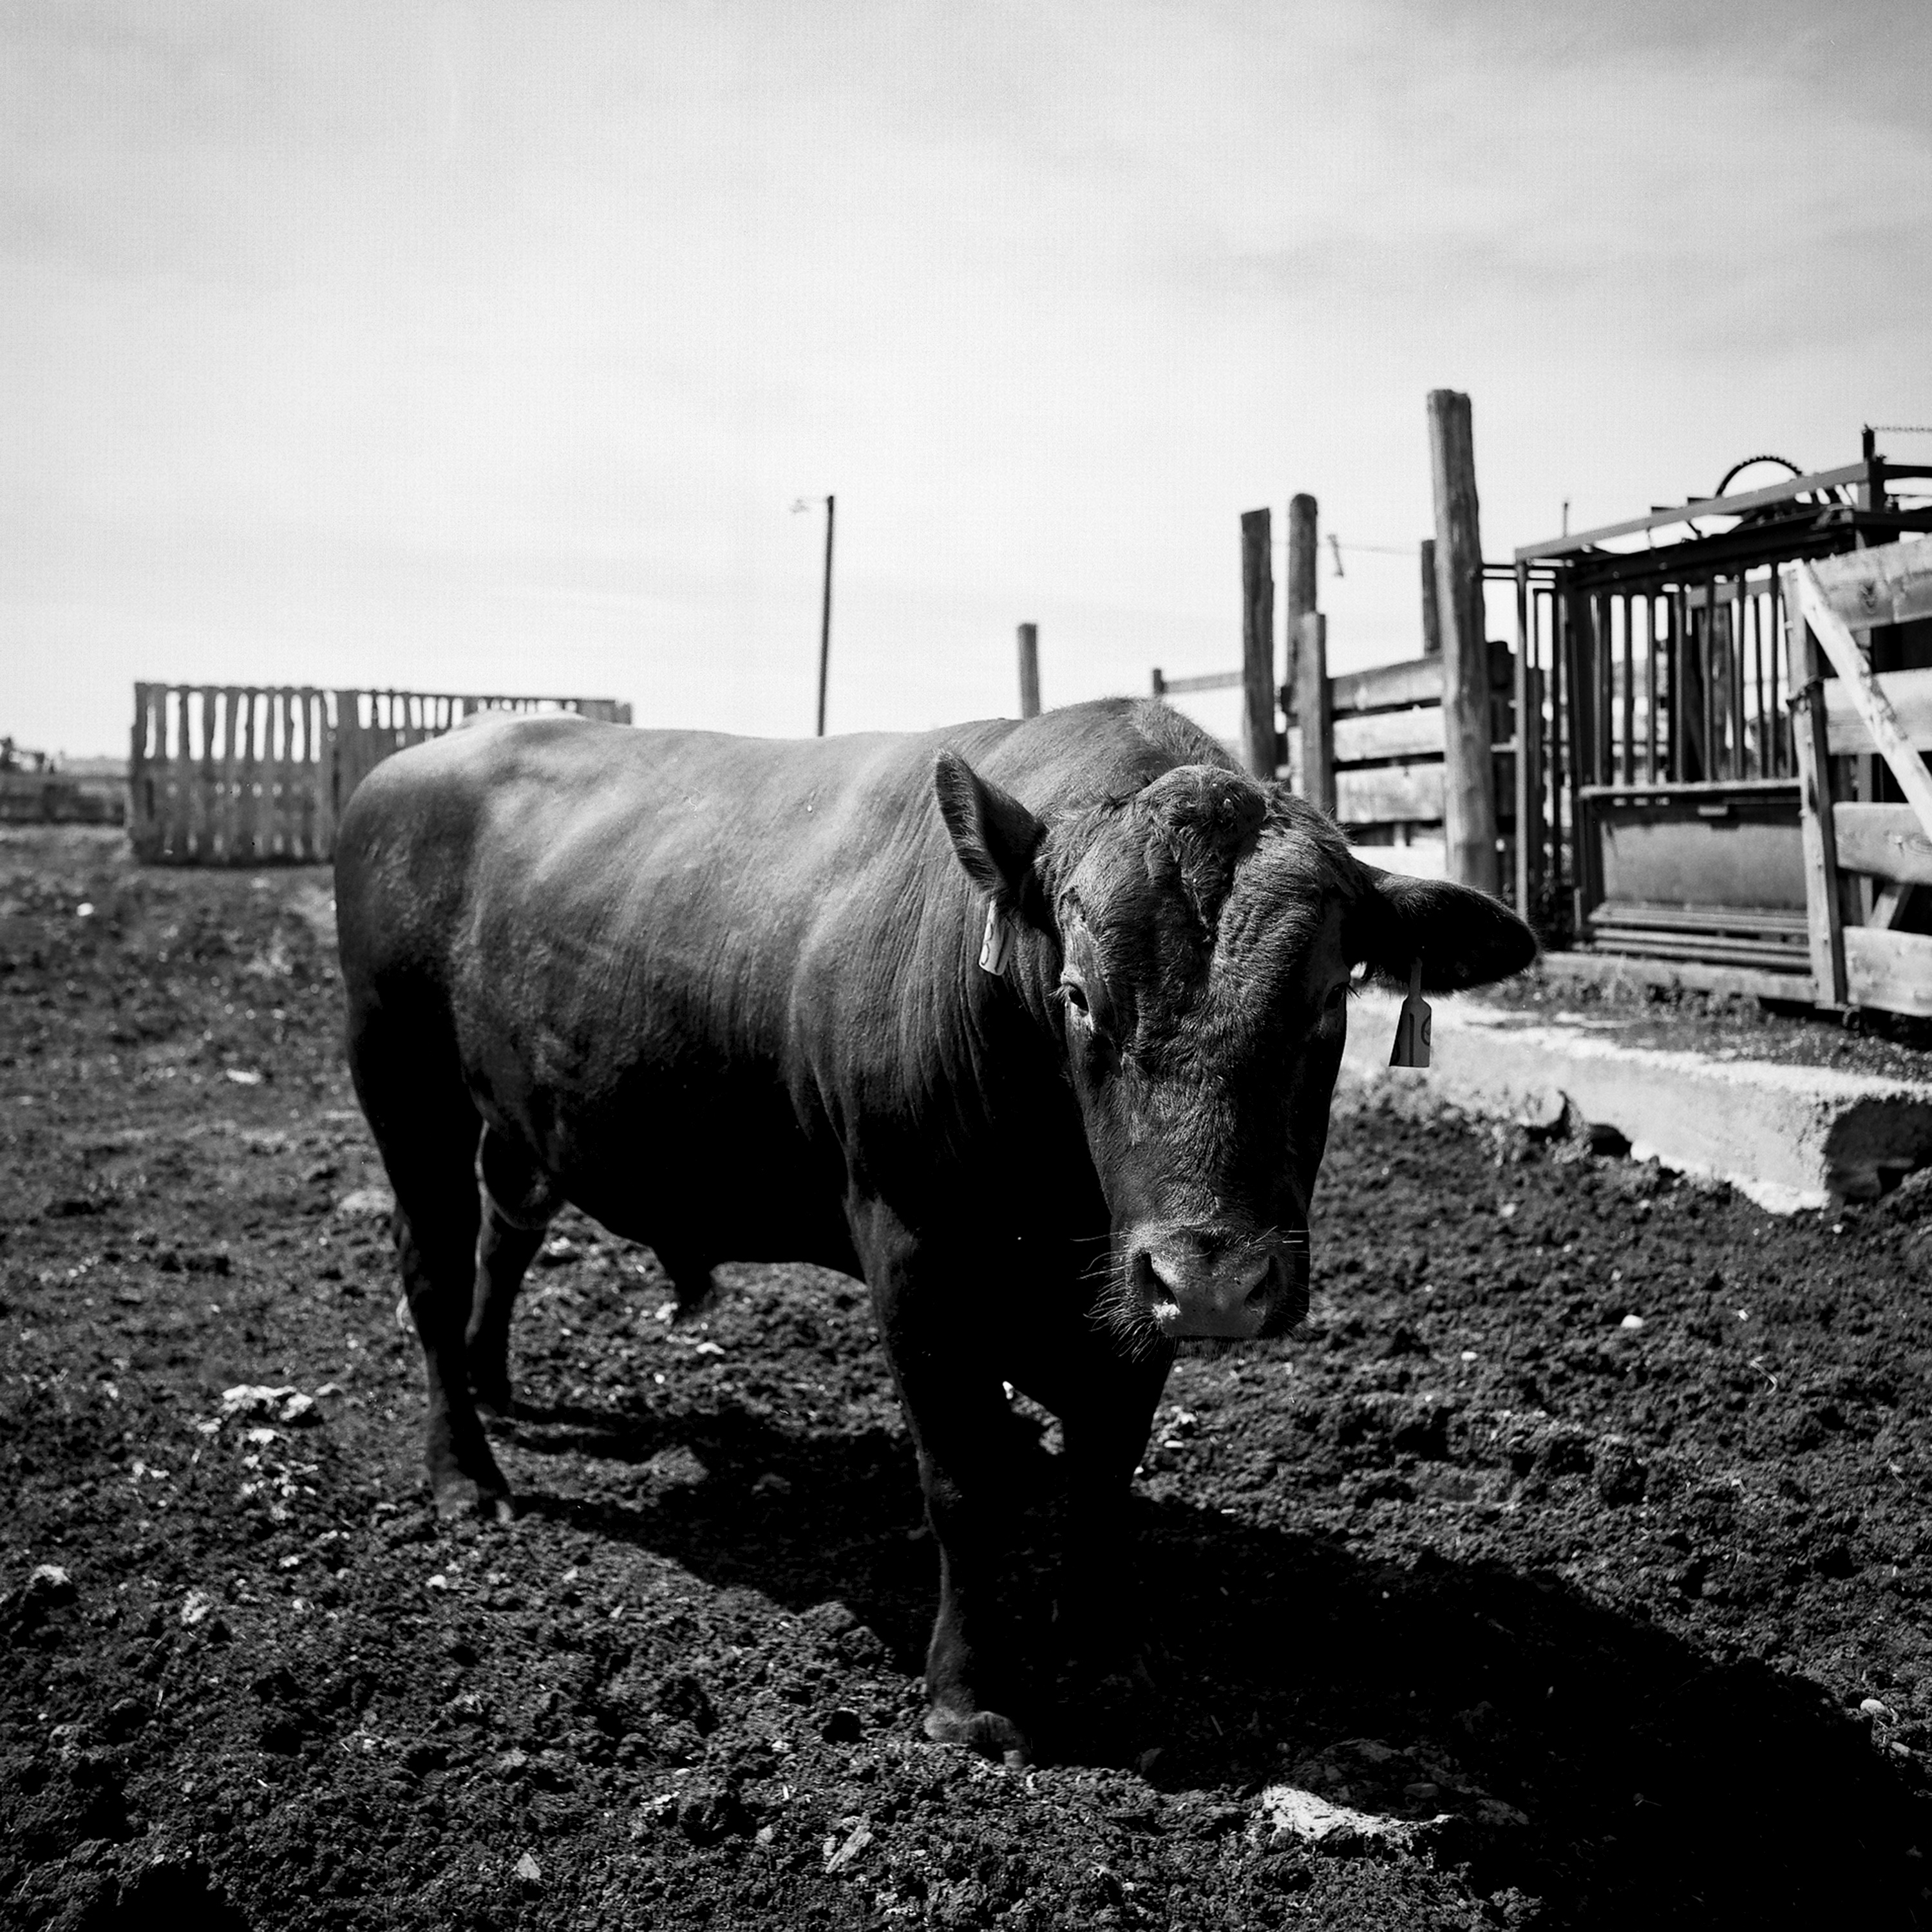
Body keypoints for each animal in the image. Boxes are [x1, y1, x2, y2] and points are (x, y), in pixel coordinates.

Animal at [333, 698, 1534, 1761]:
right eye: (1080, 994)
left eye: (1332, 999)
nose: (1216, 1282)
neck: (1055, 1200)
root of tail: (416, 760)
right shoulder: (913, 1251)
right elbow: (964, 1482)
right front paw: (967, 1697)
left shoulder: (1126, 1287)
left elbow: (1104, 1472)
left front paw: (1106, 1648)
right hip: (399, 1073)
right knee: (430, 1269)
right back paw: (465, 1475)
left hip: (516, 1111)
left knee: (506, 1231)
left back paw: (496, 1383)